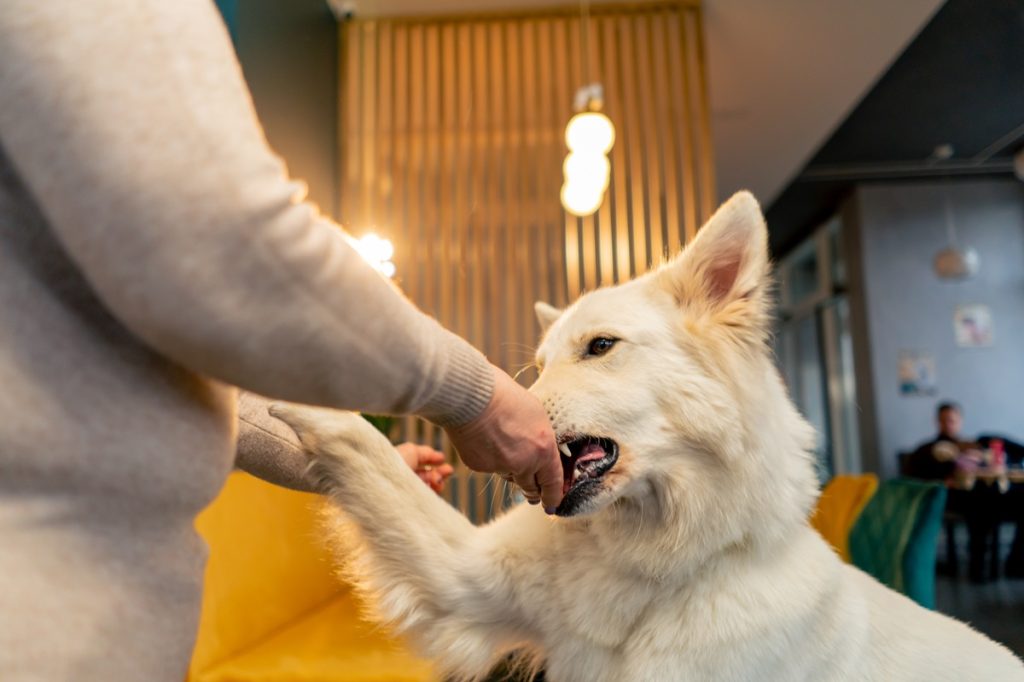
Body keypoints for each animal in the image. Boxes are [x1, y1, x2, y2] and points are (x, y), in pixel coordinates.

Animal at [272, 192, 1024, 679]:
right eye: (538, 366)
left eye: (600, 347)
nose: (480, 438)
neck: (658, 570)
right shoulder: (465, 579)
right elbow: (369, 453)